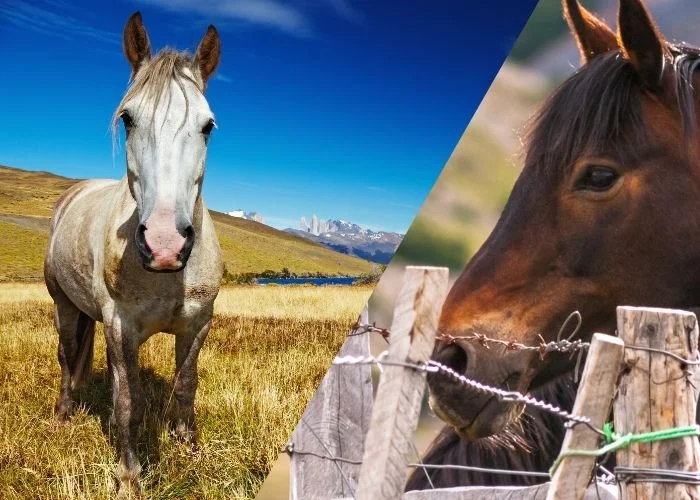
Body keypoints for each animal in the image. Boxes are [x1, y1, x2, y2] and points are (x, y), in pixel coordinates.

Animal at [44, 12, 223, 497]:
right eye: (127, 119)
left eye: (208, 126)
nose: (165, 244)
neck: (165, 277)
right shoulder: (120, 327)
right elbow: (130, 402)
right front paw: (129, 475)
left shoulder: (198, 323)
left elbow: (186, 386)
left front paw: (190, 448)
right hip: (65, 305)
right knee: (67, 355)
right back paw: (64, 413)